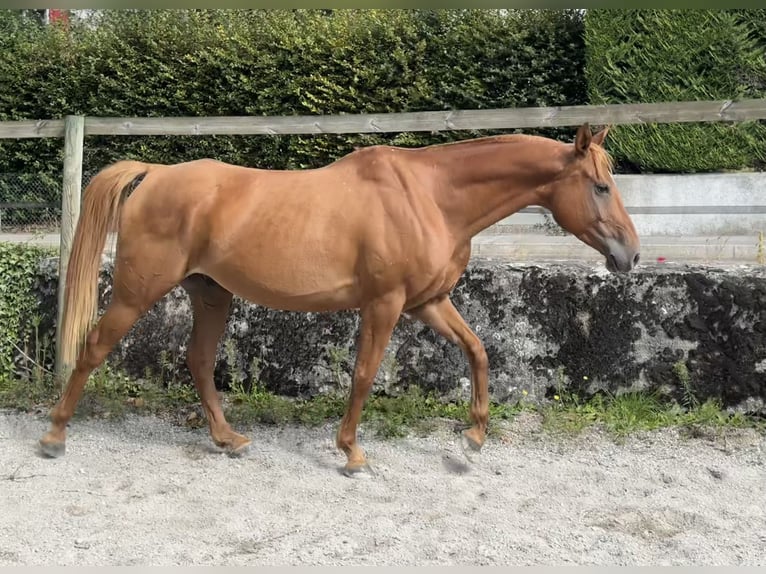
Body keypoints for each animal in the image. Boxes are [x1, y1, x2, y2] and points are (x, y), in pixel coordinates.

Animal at [40, 122, 640, 476]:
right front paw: (352, 453)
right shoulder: (385, 304)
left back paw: (229, 439)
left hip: (212, 295)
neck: (430, 197)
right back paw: (53, 435)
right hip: (138, 291)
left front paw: (472, 437)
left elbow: (477, 351)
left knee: (199, 361)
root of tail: (155, 174)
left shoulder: (429, 302)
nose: (630, 255)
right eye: (601, 186)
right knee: (93, 349)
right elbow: (365, 374)